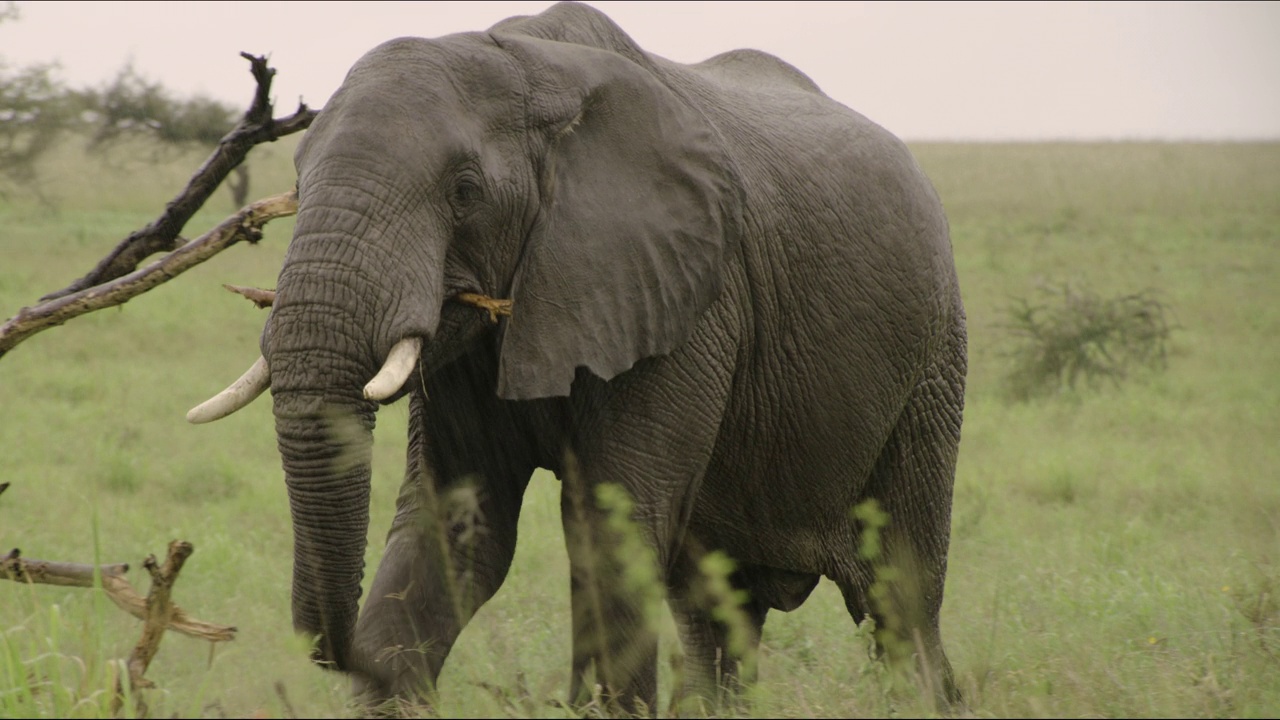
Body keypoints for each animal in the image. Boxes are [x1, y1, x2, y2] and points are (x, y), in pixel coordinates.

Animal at [189, 0, 962, 707]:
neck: (529, 69)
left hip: (933, 361)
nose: (345, 654)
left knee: (901, 595)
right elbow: (455, 526)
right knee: (716, 609)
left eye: (464, 191)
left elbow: (609, 523)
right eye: (296, 184)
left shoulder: (685, 297)